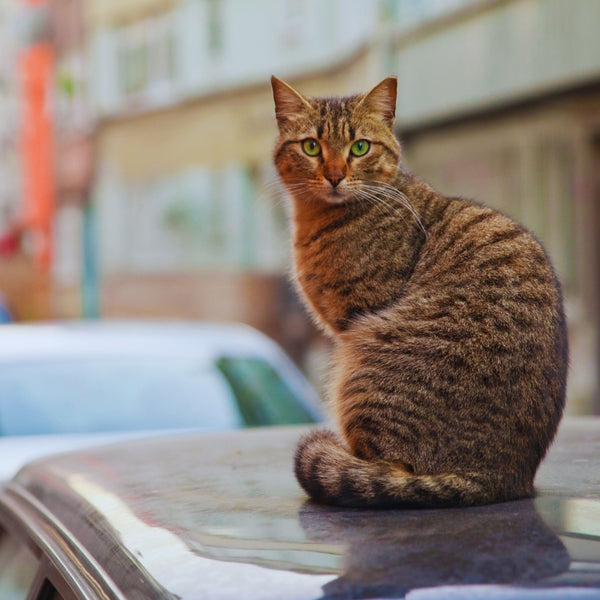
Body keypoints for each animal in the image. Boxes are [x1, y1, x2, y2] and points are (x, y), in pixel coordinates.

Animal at [270, 74, 568, 506]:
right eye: (311, 146)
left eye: (360, 147)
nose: (335, 175)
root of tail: (497, 478)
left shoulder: (354, 316)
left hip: (359, 365)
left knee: (385, 468)